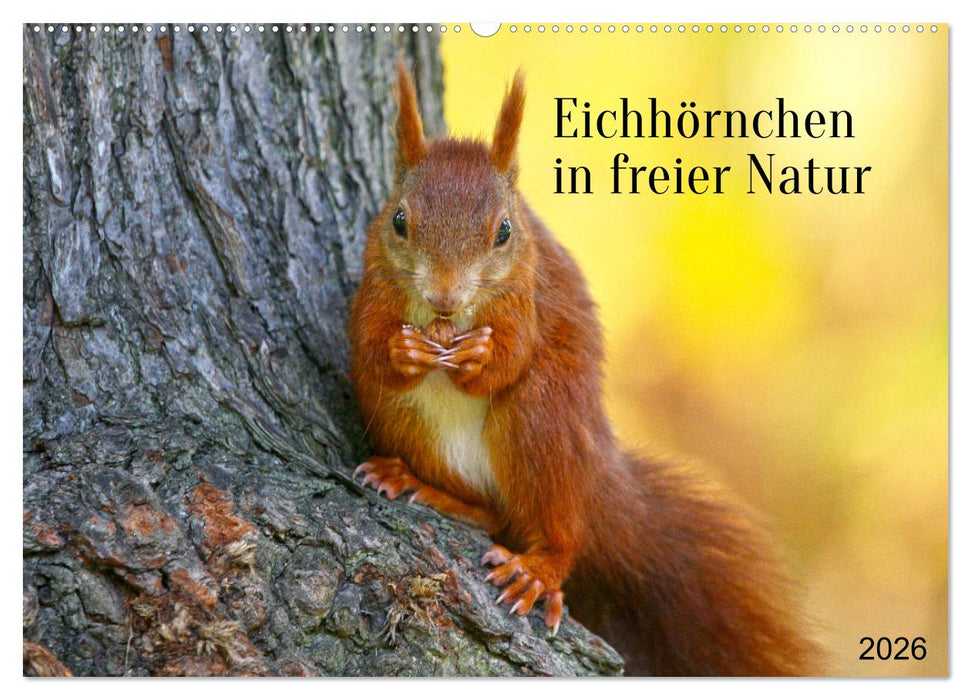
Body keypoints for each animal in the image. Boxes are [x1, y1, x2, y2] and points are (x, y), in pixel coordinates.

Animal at [348, 61, 821, 676]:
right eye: (400, 221)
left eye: (504, 231)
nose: (445, 299)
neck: (446, 323)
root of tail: (594, 478)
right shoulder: (374, 285)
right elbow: (367, 344)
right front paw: (403, 352)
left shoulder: (526, 296)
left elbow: (511, 358)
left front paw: (479, 358)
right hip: (402, 420)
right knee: (490, 513)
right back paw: (417, 483)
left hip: (543, 421)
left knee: (559, 531)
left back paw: (538, 570)